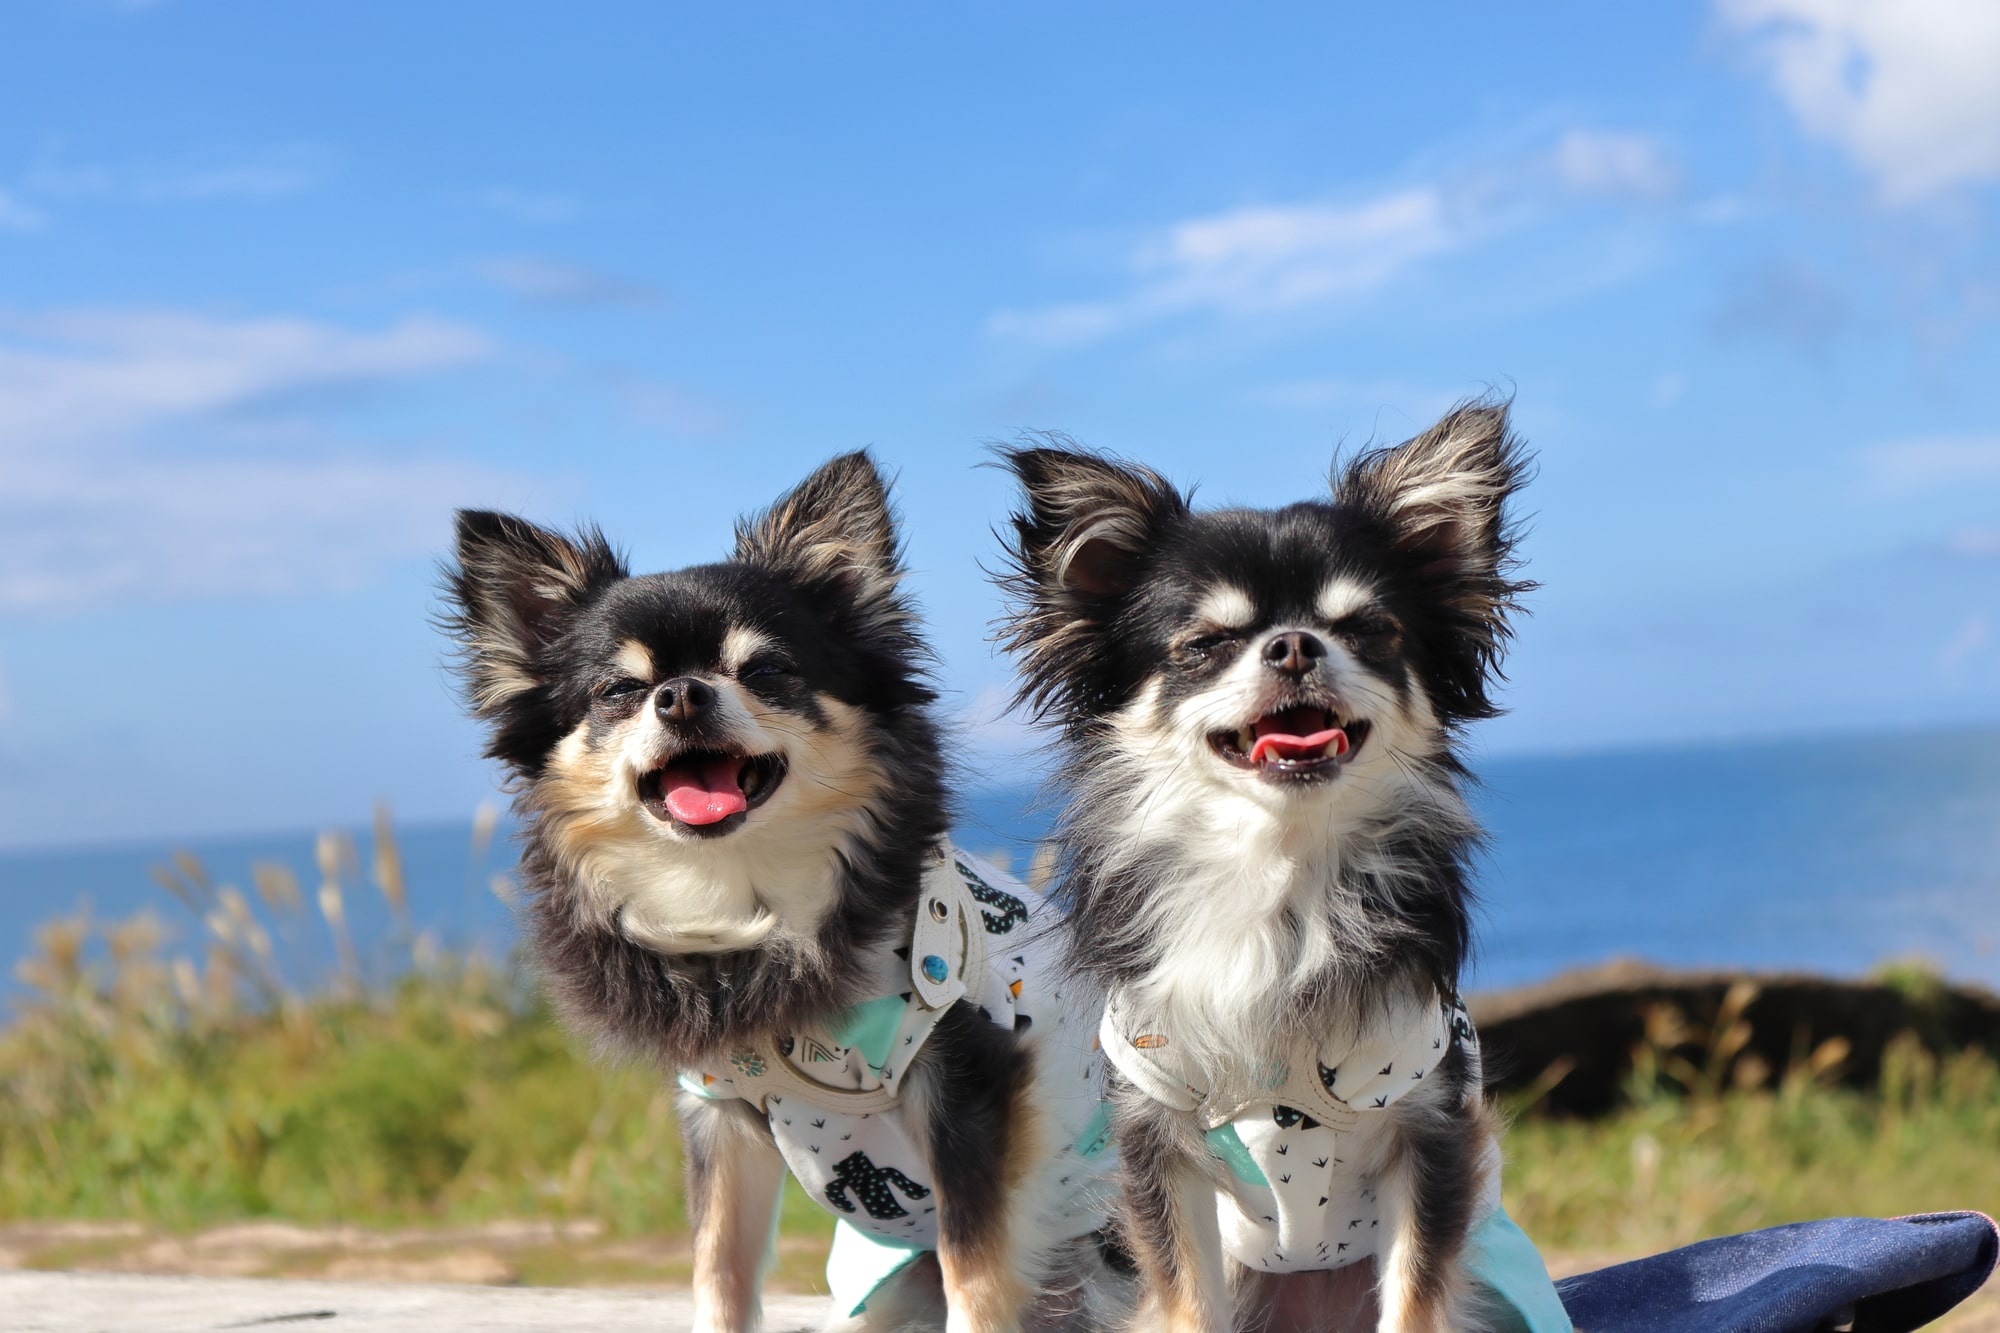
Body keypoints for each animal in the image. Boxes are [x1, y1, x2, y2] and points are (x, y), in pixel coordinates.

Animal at [439, 452, 1125, 1333]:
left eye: (764, 671)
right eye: (617, 691)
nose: (682, 693)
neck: (741, 892)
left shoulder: (968, 1078)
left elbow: (974, 1267)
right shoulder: (719, 1109)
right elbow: (718, 1263)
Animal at [994, 403, 1566, 1332]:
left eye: (1367, 629)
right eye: (1205, 644)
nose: (1294, 644)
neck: (1280, 871)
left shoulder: (1431, 1132)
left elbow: (1416, 1299)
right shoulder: (1159, 1146)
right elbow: (1187, 1300)